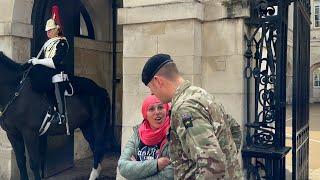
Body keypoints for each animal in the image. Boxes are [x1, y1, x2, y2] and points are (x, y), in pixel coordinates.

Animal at [0, 51, 111, 179]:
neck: (15, 91)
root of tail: (101, 89)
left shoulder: (30, 133)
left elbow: (34, 163)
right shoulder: (12, 134)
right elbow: (21, 162)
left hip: (97, 124)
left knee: (98, 147)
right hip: (86, 127)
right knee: (95, 148)